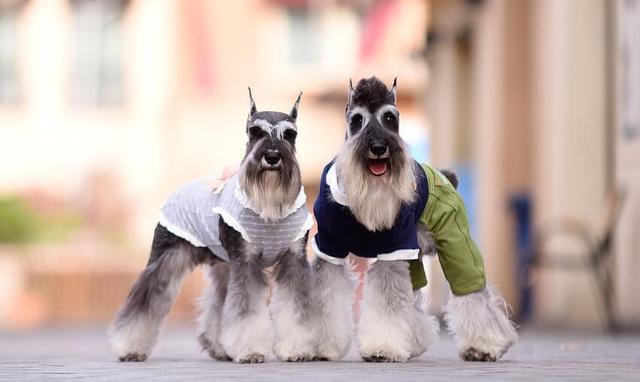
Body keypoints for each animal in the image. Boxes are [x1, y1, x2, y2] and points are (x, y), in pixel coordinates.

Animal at [111, 89, 320, 364]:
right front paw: (250, 350)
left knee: (218, 303)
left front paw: (297, 349)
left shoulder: (293, 261)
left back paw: (217, 346)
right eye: (255, 132)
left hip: (224, 266)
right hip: (166, 258)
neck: (269, 203)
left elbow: (296, 309)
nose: (273, 156)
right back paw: (130, 347)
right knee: (145, 299)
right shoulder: (246, 262)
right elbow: (246, 311)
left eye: (290, 134)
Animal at [312, 76, 520, 362]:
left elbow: (388, 303)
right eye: (357, 119)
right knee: (413, 298)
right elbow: (326, 299)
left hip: (456, 243)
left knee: (471, 291)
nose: (379, 147)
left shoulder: (393, 250)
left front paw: (383, 348)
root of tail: (444, 176)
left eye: (390, 117)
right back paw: (415, 342)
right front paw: (322, 347)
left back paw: (484, 345)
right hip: (413, 255)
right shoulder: (329, 249)